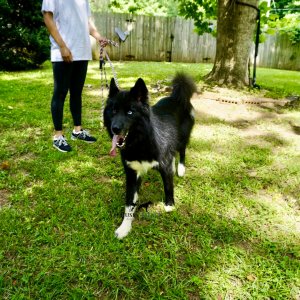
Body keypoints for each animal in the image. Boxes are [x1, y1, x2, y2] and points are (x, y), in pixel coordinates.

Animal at [103, 72, 197, 239]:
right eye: (113, 110)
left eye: (130, 112)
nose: (115, 129)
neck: (141, 141)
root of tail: (177, 97)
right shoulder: (132, 173)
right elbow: (129, 202)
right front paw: (124, 227)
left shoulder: (164, 165)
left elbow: (168, 185)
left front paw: (170, 206)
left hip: (182, 138)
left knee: (182, 151)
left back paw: (180, 169)